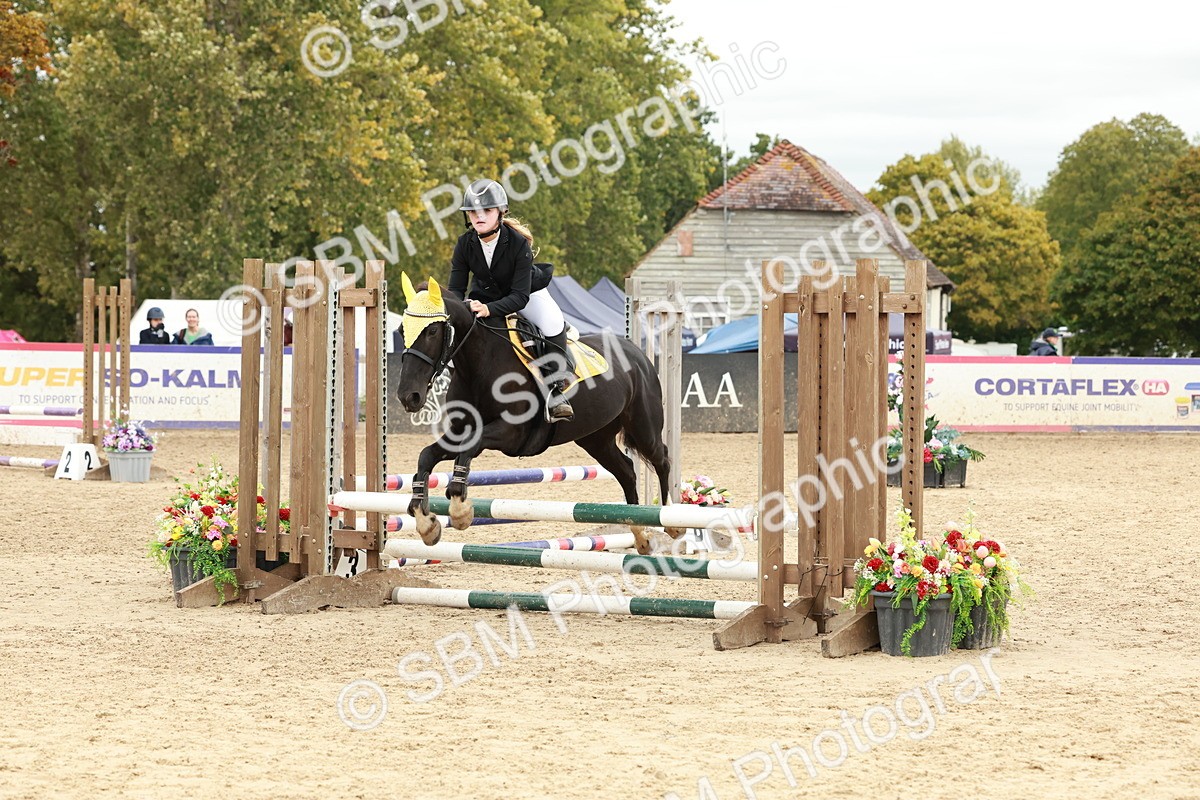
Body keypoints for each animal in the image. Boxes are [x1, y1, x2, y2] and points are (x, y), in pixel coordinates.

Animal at [395, 275, 674, 555]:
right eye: (400, 331)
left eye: (432, 331)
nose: (409, 396)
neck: (480, 364)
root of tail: (636, 352)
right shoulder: (460, 431)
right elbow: (426, 455)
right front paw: (425, 523)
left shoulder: (511, 433)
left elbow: (469, 447)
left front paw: (460, 509)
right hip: (596, 439)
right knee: (627, 471)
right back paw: (641, 536)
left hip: (643, 428)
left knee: (662, 460)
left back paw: (671, 521)